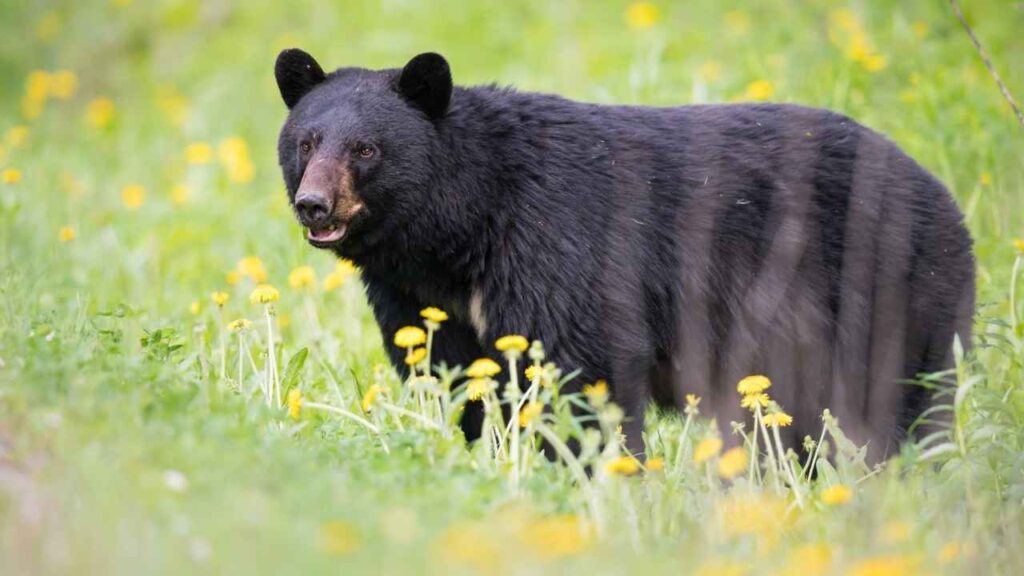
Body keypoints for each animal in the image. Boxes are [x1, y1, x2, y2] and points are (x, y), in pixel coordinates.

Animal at [274, 49, 975, 461]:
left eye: (366, 149)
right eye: (306, 142)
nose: (314, 205)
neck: (461, 228)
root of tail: (943, 192)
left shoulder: (556, 239)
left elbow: (583, 361)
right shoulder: (420, 297)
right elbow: (458, 375)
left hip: (891, 286)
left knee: (895, 398)